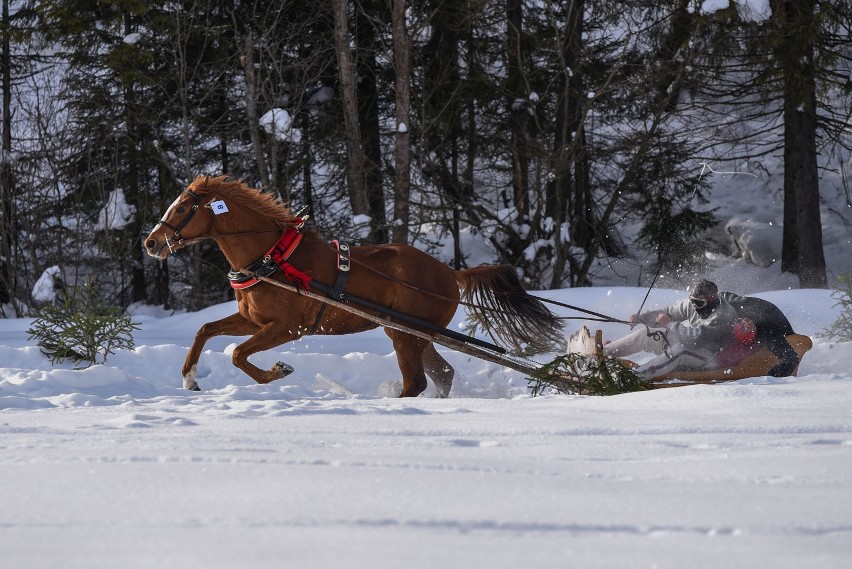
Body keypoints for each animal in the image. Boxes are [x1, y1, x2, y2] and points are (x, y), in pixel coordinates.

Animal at [143, 175, 564, 398]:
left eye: (183, 208)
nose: (150, 242)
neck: (272, 256)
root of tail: (450, 273)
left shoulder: (287, 328)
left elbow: (237, 355)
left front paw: (278, 372)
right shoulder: (253, 320)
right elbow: (205, 330)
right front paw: (189, 378)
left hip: (405, 334)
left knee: (416, 381)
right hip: (417, 334)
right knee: (440, 375)